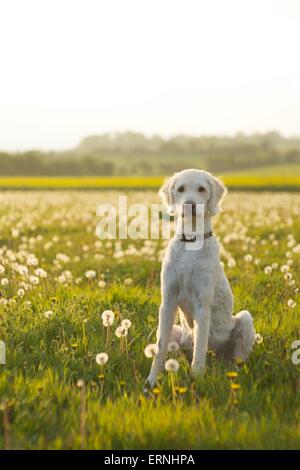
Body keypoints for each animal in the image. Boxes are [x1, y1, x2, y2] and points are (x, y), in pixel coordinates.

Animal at [146, 169, 254, 386]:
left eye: (202, 189)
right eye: (180, 189)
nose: (190, 204)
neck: (191, 241)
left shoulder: (202, 305)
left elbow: (200, 347)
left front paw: (196, 378)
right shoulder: (168, 302)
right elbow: (159, 350)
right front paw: (152, 381)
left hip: (245, 320)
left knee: (237, 358)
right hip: (177, 332)